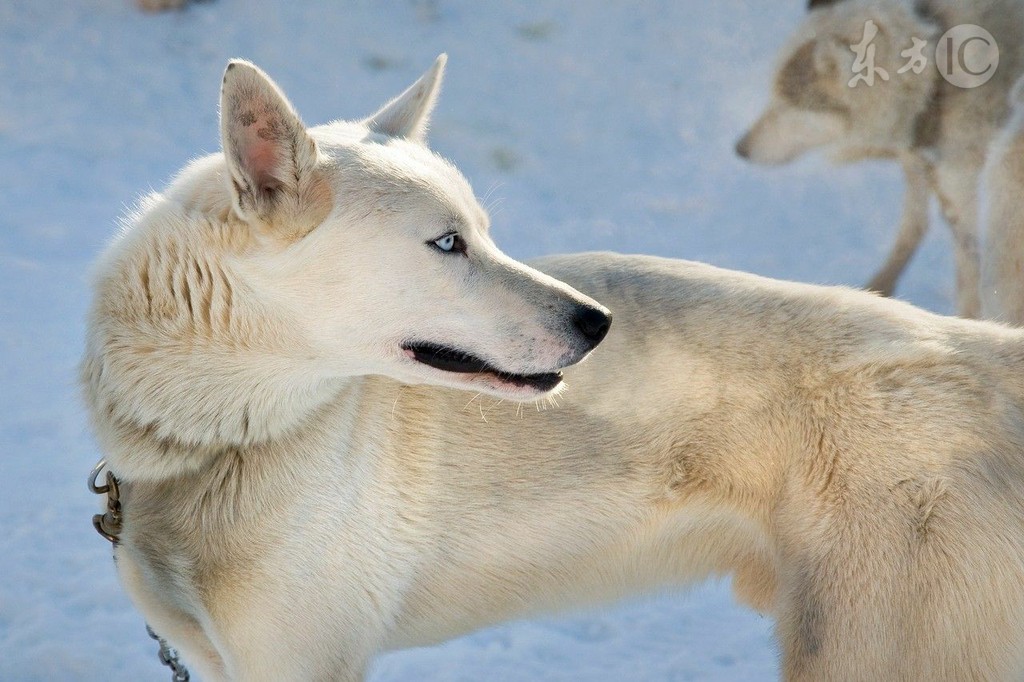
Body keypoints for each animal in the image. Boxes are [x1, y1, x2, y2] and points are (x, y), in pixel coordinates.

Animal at [81, 59, 1024, 679]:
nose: (597, 323)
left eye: (483, 232)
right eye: (448, 244)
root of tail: (981, 347)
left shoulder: (302, 661)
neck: (213, 441)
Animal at [737, 0, 1024, 317]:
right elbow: (914, 228)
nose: (740, 148)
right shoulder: (937, 180)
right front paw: (880, 288)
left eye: (786, 105)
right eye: (772, 97)